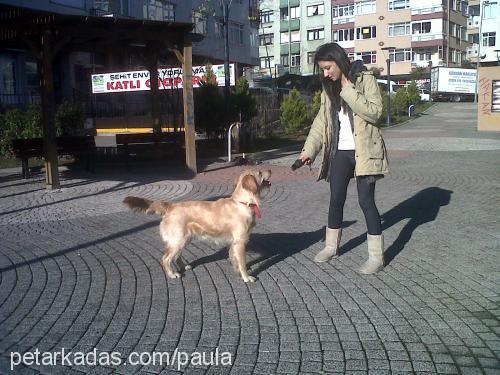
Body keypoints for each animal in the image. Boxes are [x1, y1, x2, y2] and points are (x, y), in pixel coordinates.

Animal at [123, 170, 272, 282]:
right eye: (260, 172)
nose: (270, 170)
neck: (242, 203)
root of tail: (170, 206)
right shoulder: (240, 241)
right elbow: (242, 262)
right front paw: (246, 277)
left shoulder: (234, 243)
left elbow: (234, 259)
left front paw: (238, 271)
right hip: (178, 240)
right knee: (166, 259)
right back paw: (172, 274)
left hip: (184, 239)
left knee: (176, 256)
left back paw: (184, 267)